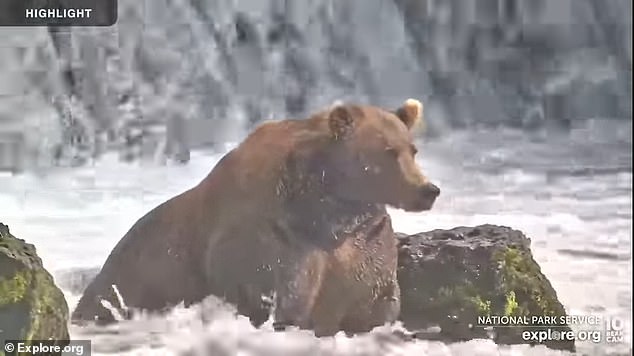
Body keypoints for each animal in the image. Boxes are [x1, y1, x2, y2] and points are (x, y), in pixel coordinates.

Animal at [71, 98, 440, 336]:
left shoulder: (361, 242)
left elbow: (373, 300)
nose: (428, 189)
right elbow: (272, 294)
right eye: (387, 152)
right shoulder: (270, 240)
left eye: (412, 149)